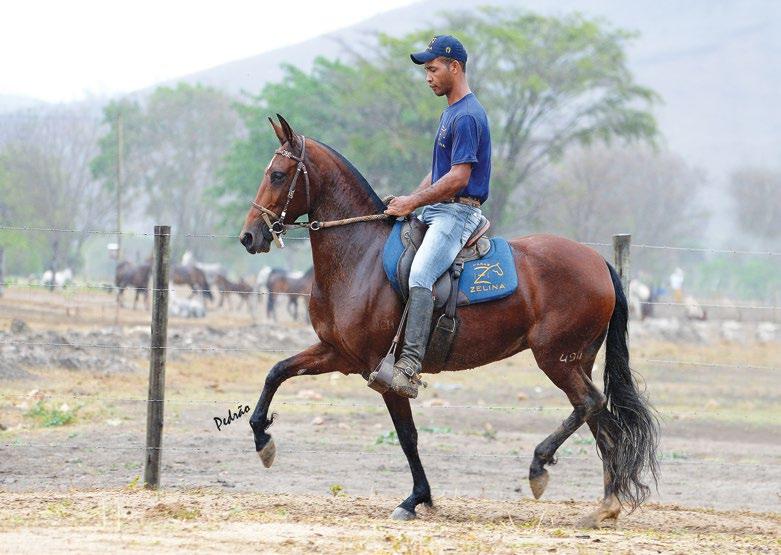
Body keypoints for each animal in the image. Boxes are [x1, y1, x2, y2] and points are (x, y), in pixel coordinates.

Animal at [238, 116, 660, 528]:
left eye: (277, 175)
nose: (248, 236)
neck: (361, 255)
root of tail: (597, 262)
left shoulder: (382, 371)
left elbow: (407, 436)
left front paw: (415, 499)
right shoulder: (336, 353)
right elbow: (277, 372)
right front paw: (262, 440)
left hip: (556, 359)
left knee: (590, 404)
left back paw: (541, 467)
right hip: (577, 361)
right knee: (600, 421)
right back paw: (606, 505)